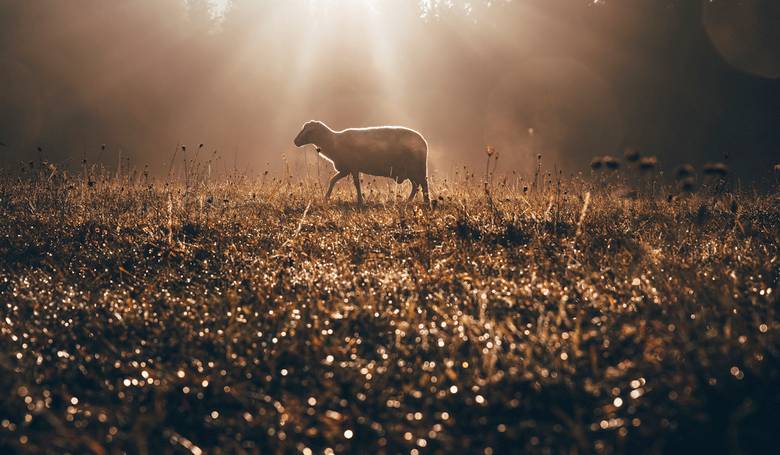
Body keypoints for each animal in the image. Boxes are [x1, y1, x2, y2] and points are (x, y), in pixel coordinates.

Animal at [292, 121, 430, 207]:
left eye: (307, 131)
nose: (295, 142)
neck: (332, 142)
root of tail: (424, 142)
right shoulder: (346, 169)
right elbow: (333, 180)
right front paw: (326, 198)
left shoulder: (352, 167)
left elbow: (356, 184)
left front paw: (360, 202)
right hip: (411, 170)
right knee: (416, 185)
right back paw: (411, 201)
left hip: (416, 168)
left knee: (423, 184)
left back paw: (426, 202)